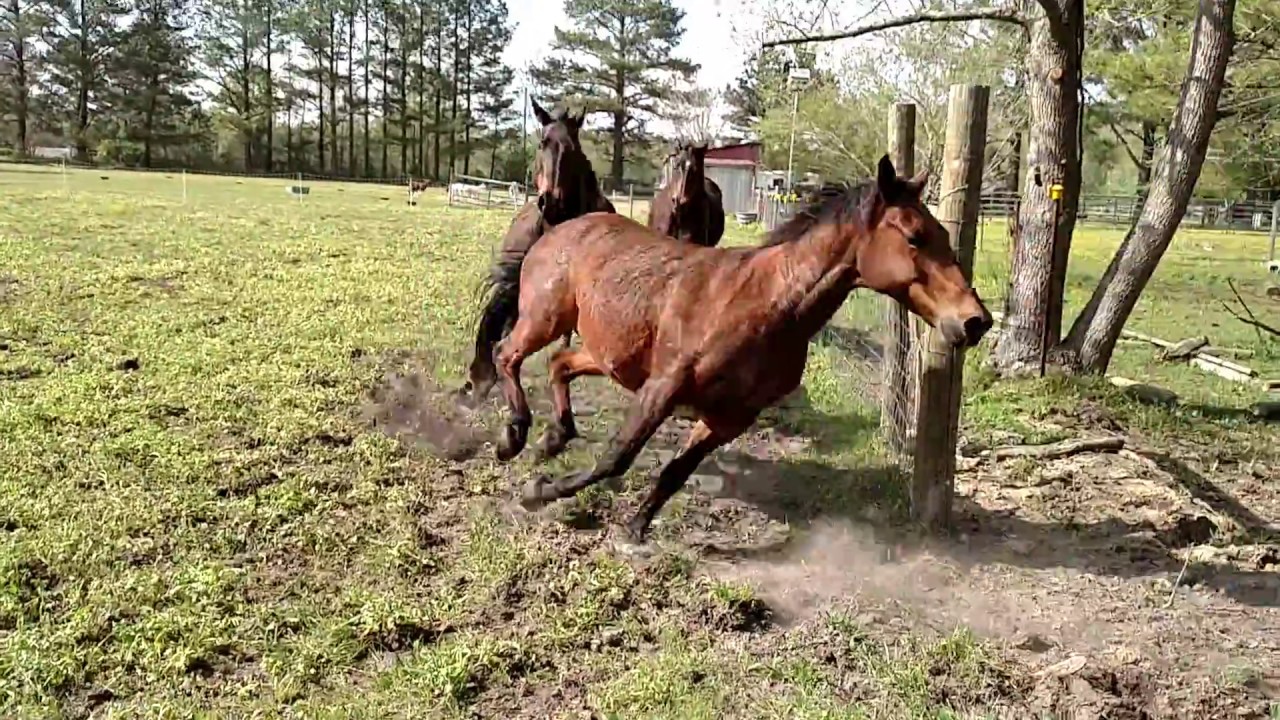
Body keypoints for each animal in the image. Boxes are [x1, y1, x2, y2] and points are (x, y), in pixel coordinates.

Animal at [489, 154, 994, 548]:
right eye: (913, 236)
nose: (975, 321)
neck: (767, 305)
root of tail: (561, 228)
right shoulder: (664, 388)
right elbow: (618, 455)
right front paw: (540, 493)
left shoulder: (728, 417)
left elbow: (674, 474)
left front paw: (634, 529)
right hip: (544, 320)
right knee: (504, 354)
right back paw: (513, 437)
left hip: (608, 354)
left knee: (559, 364)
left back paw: (551, 439)